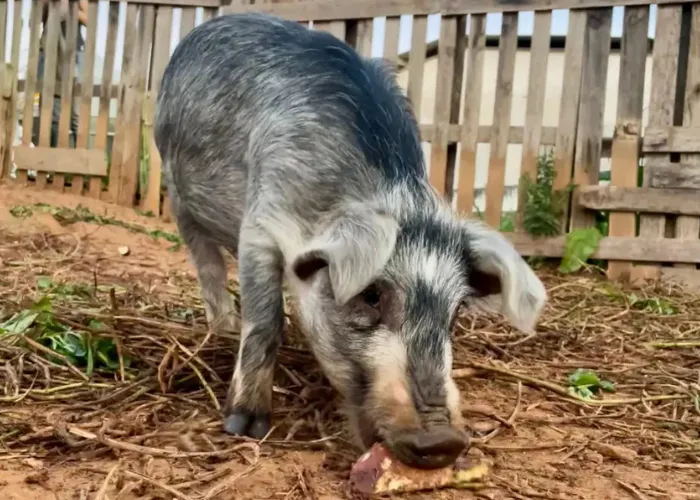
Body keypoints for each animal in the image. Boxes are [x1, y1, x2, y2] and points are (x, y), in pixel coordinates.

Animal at [154, 12, 547, 470]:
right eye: (371, 296)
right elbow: (266, 320)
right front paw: (245, 426)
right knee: (207, 266)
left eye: (455, 315)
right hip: (175, 190)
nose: (442, 441)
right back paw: (222, 330)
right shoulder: (260, 224)